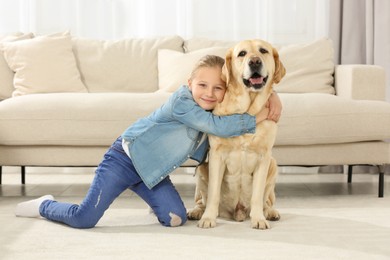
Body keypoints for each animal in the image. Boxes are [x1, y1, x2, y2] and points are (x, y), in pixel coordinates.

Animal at [187, 39, 284, 230]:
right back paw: (196, 212)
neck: (248, 110)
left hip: (273, 165)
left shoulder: (264, 157)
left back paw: (270, 213)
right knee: (201, 200)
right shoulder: (217, 155)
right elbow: (214, 194)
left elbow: (257, 196)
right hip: (202, 168)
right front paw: (208, 218)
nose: (255, 61)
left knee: (266, 201)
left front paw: (259, 219)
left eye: (263, 51)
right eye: (242, 54)